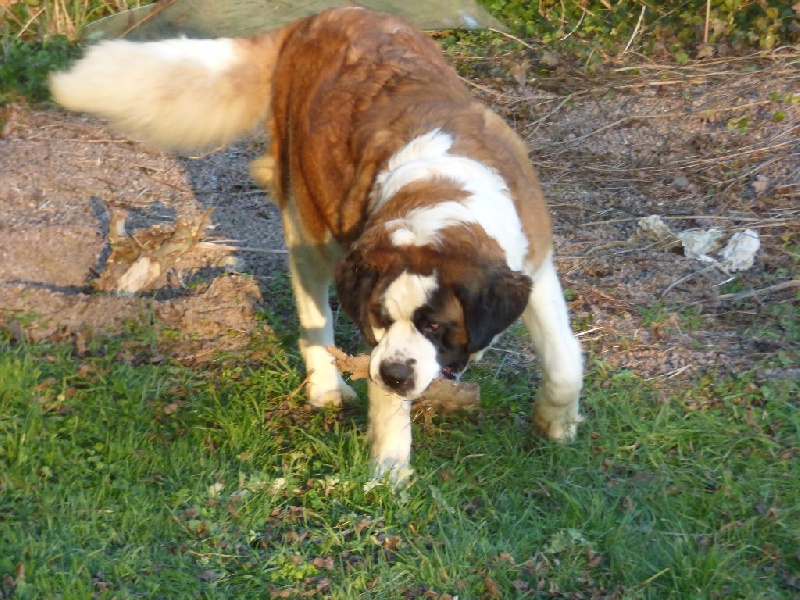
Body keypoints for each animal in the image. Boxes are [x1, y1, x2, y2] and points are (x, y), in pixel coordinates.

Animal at [53, 4, 584, 480]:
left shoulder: (532, 265)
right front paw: (388, 474)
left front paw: (555, 423)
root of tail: (316, 17)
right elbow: (386, 403)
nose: (395, 374)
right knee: (315, 312)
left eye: (435, 325)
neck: (440, 200)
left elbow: (564, 362)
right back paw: (326, 385)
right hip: (307, 220)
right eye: (381, 318)